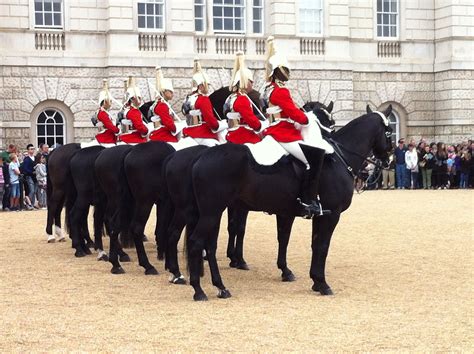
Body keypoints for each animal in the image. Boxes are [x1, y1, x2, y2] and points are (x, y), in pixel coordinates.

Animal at [185, 106, 392, 302]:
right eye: (389, 132)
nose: (389, 160)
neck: (340, 159)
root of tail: (200, 156)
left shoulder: (314, 215)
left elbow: (310, 243)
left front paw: (313, 280)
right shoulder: (332, 214)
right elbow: (322, 246)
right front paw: (322, 283)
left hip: (215, 212)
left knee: (210, 246)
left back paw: (221, 286)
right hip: (212, 212)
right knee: (196, 242)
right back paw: (199, 290)